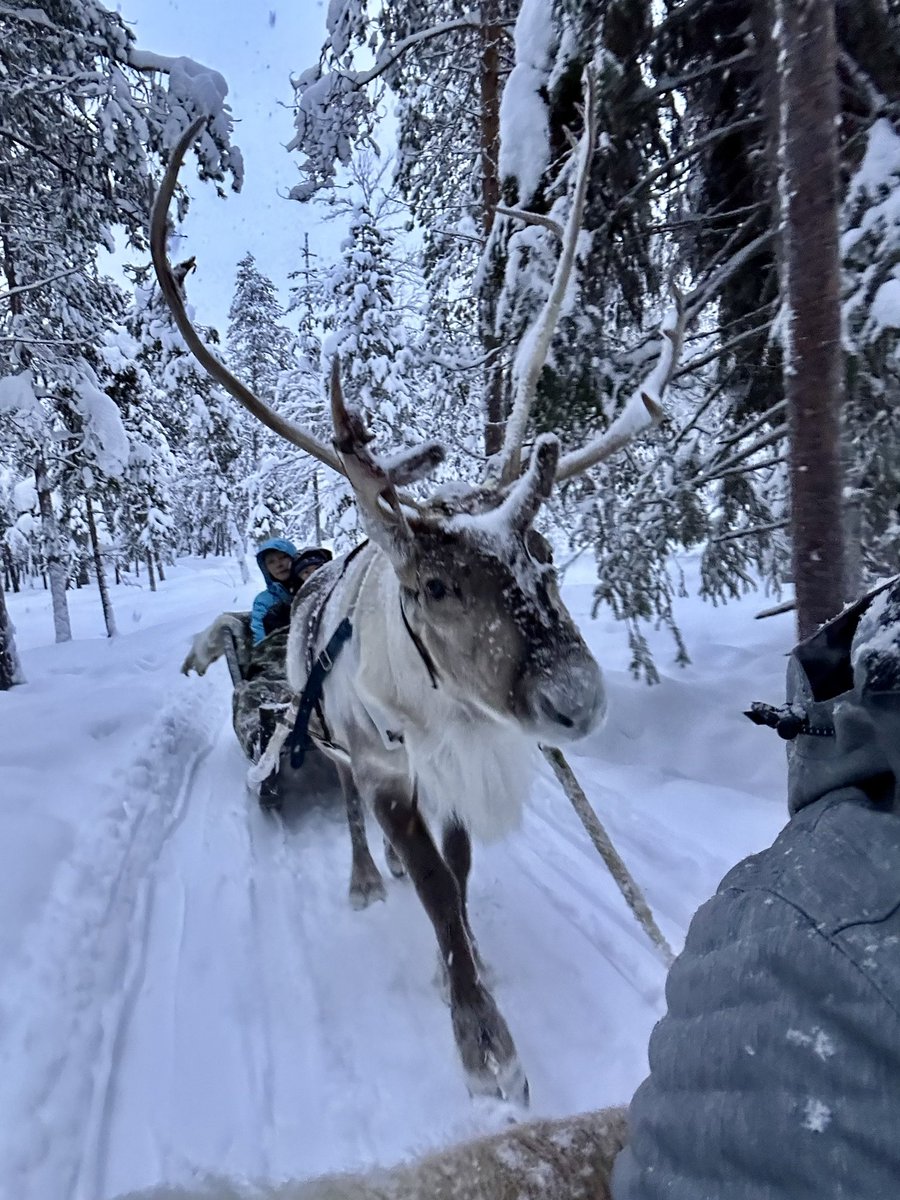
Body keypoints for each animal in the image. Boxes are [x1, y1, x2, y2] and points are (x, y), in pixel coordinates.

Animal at [159, 67, 684, 1106]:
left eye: (547, 553)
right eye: (436, 585)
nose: (577, 701)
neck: (445, 713)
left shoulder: (459, 771)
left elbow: (461, 873)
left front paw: (468, 961)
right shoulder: (391, 764)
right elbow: (436, 885)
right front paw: (484, 1042)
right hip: (333, 741)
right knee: (348, 807)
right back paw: (368, 878)